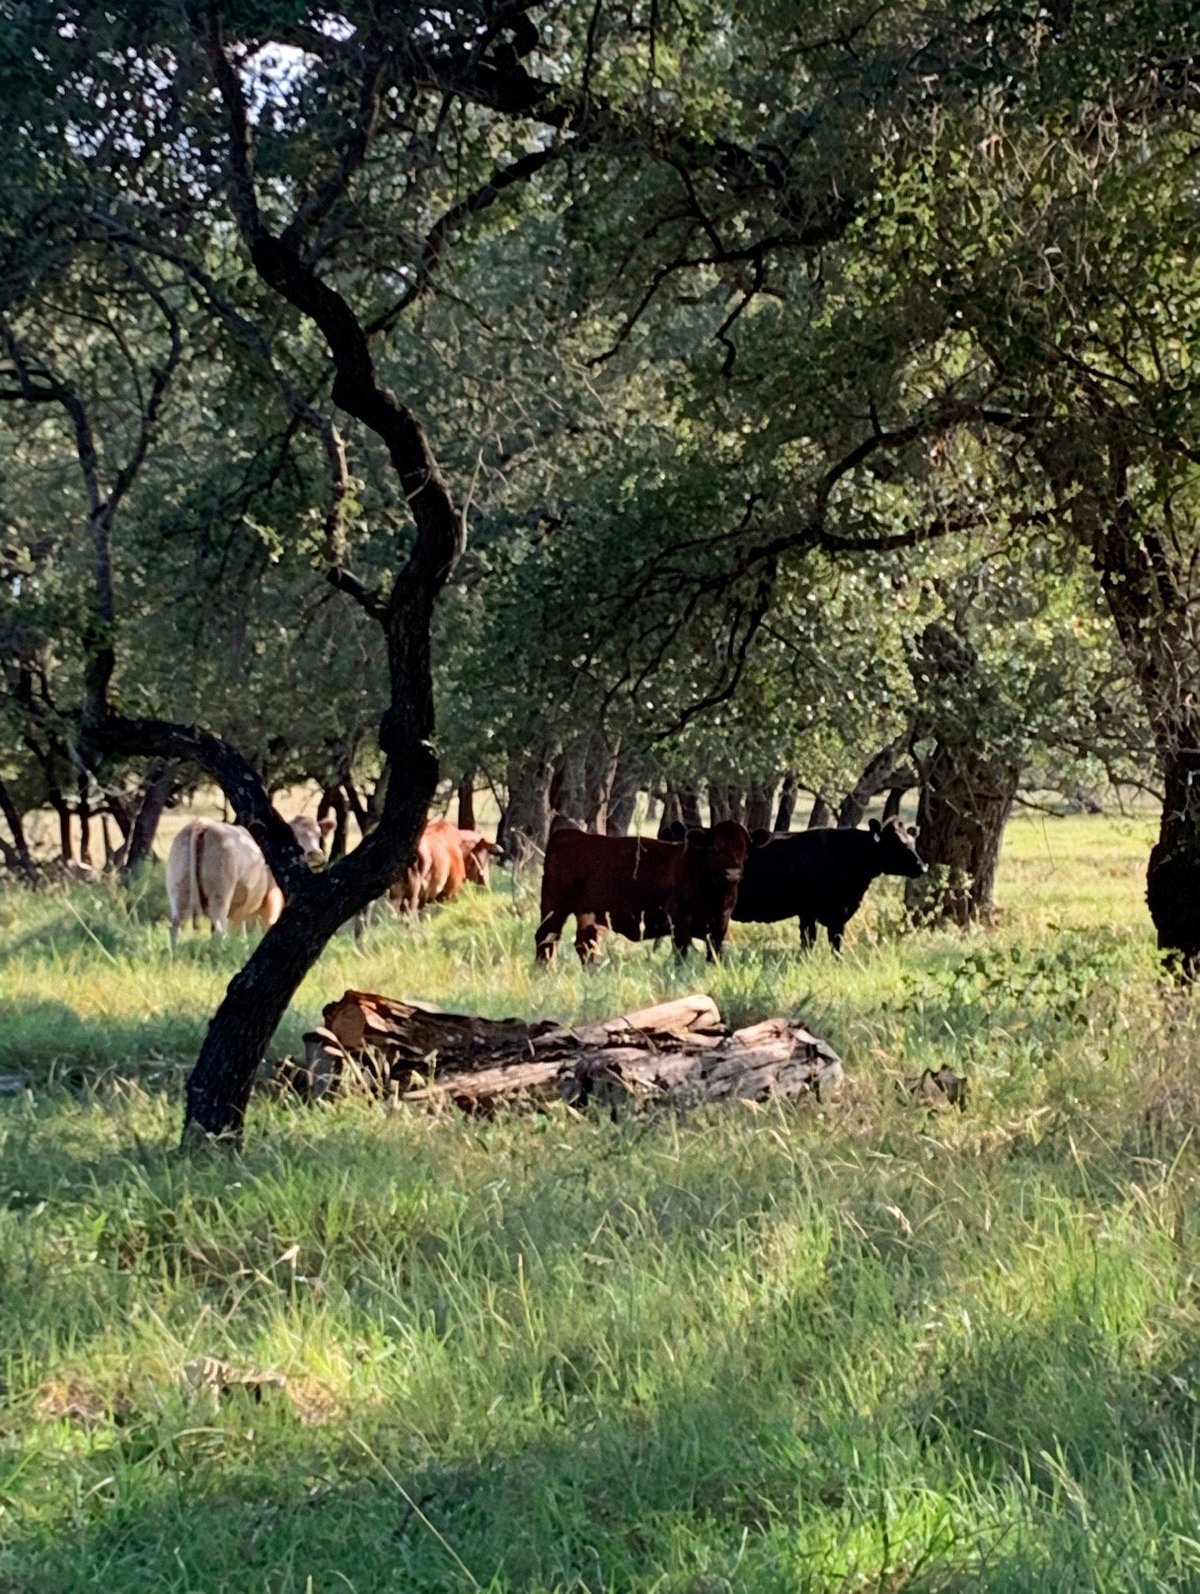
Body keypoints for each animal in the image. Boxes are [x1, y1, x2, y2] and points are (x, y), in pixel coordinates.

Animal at [166, 813, 333, 950]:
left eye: (318, 834)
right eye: (293, 835)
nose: (315, 854)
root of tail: (202, 823)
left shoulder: (244, 908)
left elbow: (243, 931)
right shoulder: (271, 899)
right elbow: (266, 926)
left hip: (178, 891)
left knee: (176, 926)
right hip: (220, 896)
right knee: (219, 929)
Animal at [535, 821, 756, 966]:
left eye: (744, 848)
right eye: (715, 847)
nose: (733, 872)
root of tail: (567, 835)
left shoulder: (720, 922)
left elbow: (715, 952)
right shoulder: (680, 919)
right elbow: (681, 950)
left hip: (588, 915)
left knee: (585, 945)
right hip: (554, 909)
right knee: (546, 938)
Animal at [733, 815, 925, 952]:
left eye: (912, 842)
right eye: (895, 843)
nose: (923, 866)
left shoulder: (836, 915)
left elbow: (836, 946)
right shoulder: (810, 911)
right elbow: (809, 942)